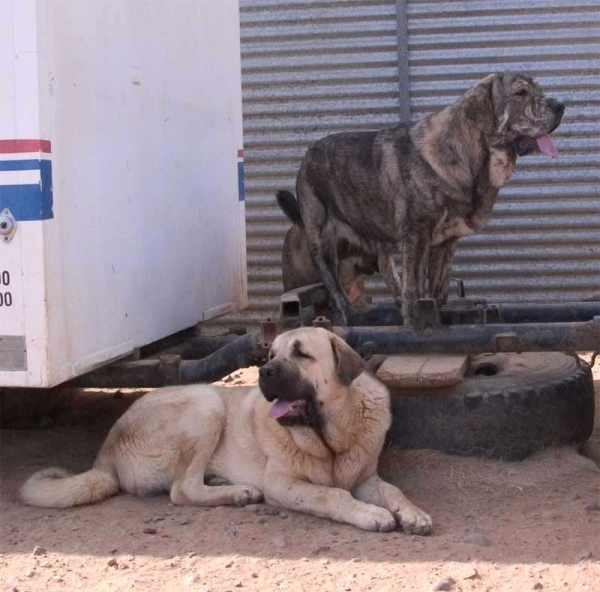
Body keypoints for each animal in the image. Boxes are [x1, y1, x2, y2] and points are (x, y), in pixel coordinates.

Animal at [18, 328, 432, 536]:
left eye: (301, 354)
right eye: (270, 355)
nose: (264, 372)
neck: (330, 435)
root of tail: (105, 451)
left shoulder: (366, 478)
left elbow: (393, 491)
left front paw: (413, 514)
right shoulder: (284, 484)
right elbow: (332, 495)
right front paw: (370, 515)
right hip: (205, 405)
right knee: (182, 490)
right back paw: (239, 493)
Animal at [286, 73, 564, 328]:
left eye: (539, 90)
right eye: (521, 93)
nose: (561, 105)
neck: (467, 154)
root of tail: (307, 155)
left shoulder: (445, 242)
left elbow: (436, 290)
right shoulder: (415, 236)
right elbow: (414, 291)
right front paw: (414, 324)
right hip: (322, 243)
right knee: (337, 296)